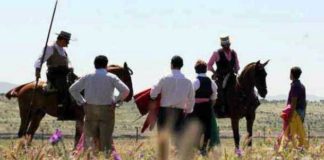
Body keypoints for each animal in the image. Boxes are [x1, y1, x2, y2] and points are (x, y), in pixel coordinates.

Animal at [4, 62, 133, 146]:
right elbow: (79, 137)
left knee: (29, 133)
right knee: (22, 133)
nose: (130, 95)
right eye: (127, 77)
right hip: (27, 113)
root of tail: (22, 87)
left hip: (38, 114)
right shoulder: (81, 118)